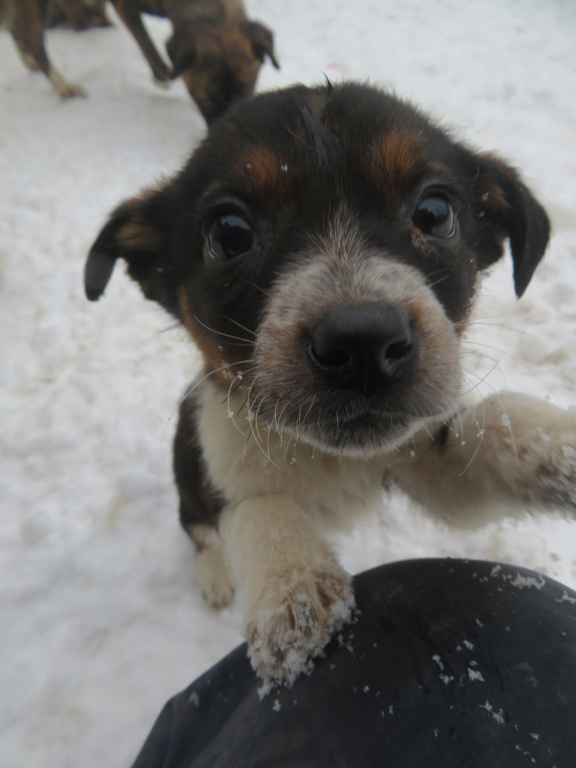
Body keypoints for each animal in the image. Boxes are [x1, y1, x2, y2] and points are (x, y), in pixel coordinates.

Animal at [84, 82, 576, 688]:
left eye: (435, 212)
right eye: (230, 232)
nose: (363, 342)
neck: (329, 458)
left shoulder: (429, 463)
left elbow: (493, 424)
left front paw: (560, 444)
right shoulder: (221, 464)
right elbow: (258, 510)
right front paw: (293, 587)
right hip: (185, 467)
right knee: (195, 526)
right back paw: (215, 574)